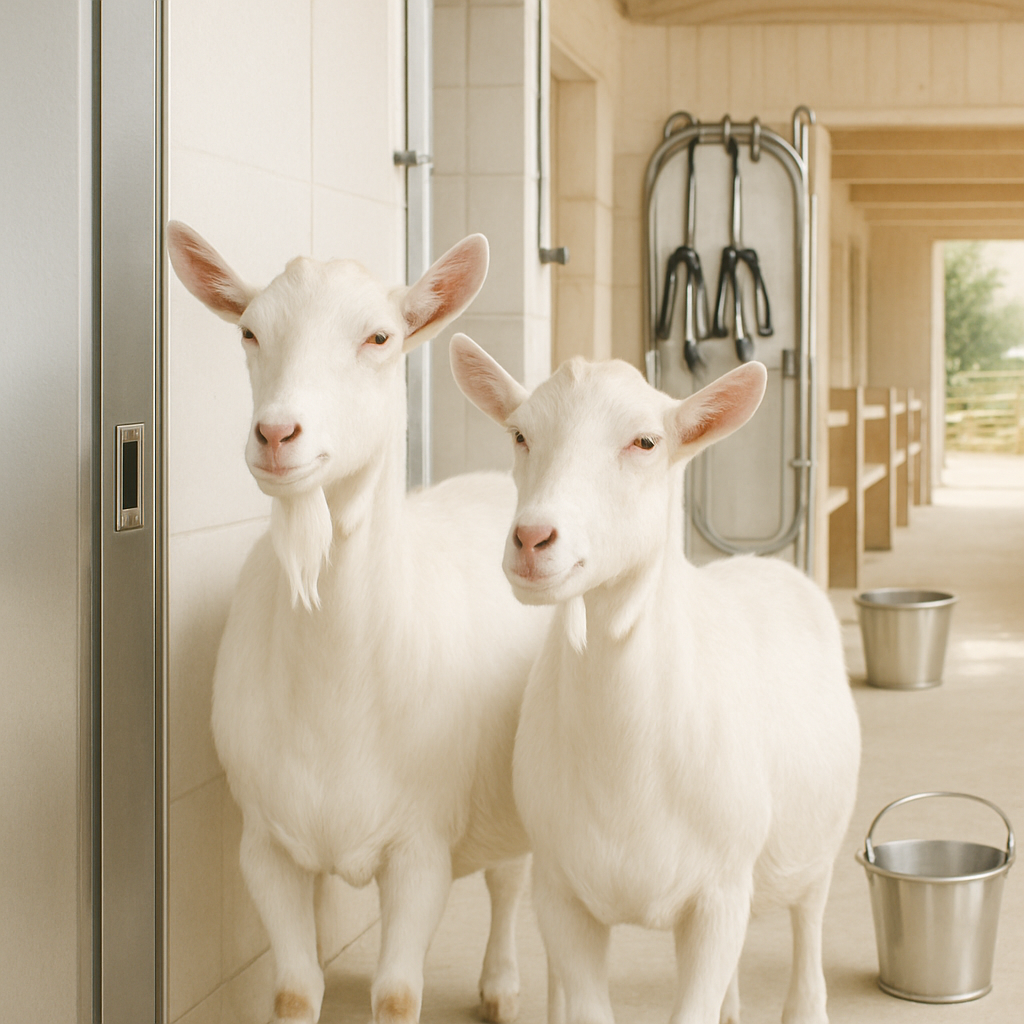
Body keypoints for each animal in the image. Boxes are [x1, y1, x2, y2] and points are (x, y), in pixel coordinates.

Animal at [168, 223, 551, 1024]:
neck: (335, 696)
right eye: (250, 331)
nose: (276, 433)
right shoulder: (265, 845)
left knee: (508, 877)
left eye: (380, 336)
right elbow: (293, 989)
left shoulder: (420, 847)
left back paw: (501, 986)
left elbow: (398, 993)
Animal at [449, 333, 861, 1024]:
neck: (628, 771)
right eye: (520, 434)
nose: (532, 539)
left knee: (810, 920)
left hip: (816, 842)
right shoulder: (561, 893)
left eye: (645, 442)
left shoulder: (720, 891)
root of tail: (764, 564)